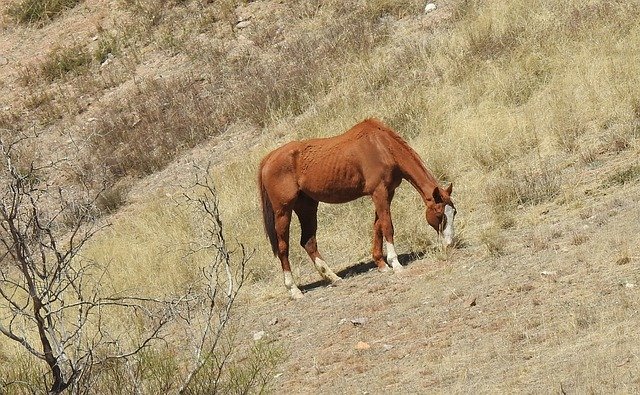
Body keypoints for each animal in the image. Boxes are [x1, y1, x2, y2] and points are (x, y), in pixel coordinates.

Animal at [256, 118, 456, 300]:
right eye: (440, 215)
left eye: (454, 213)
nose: (449, 243)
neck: (381, 146)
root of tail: (268, 159)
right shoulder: (379, 192)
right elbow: (387, 226)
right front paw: (395, 263)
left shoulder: (386, 193)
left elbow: (378, 226)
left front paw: (381, 264)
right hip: (283, 212)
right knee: (283, 247)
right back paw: (294, 290)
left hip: (307, 206)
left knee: (308, 242)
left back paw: (334, 278)